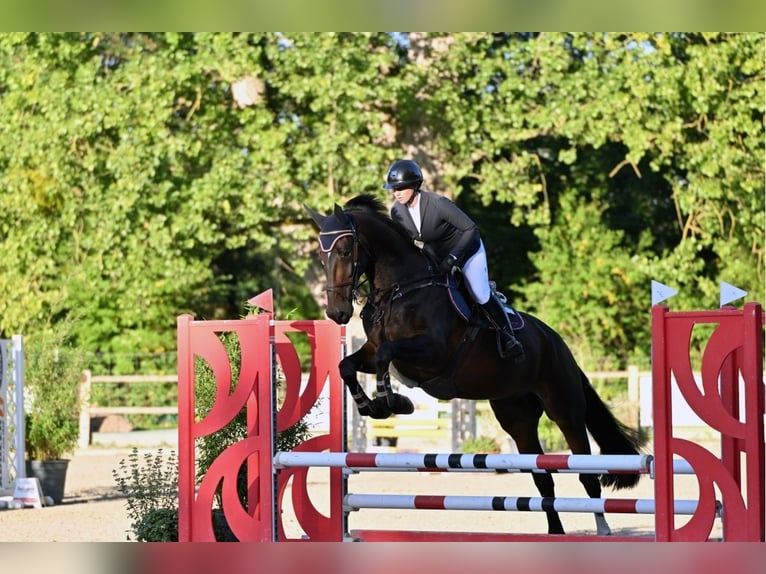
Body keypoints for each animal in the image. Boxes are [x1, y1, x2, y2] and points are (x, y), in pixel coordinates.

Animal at [305, 193, 646, 536]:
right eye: (321, 256)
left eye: (345, 251)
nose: (336, 313)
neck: (400, 290)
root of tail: (557, 342)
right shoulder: (373, 350)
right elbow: (348, 366)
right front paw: (371, 406)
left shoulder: (431, 354)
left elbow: (385, 356)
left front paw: (392, 402)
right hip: (517, 418)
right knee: (543, 477)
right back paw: (555, 533)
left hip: (564, 409)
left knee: (587, 473)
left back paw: (602, 529)